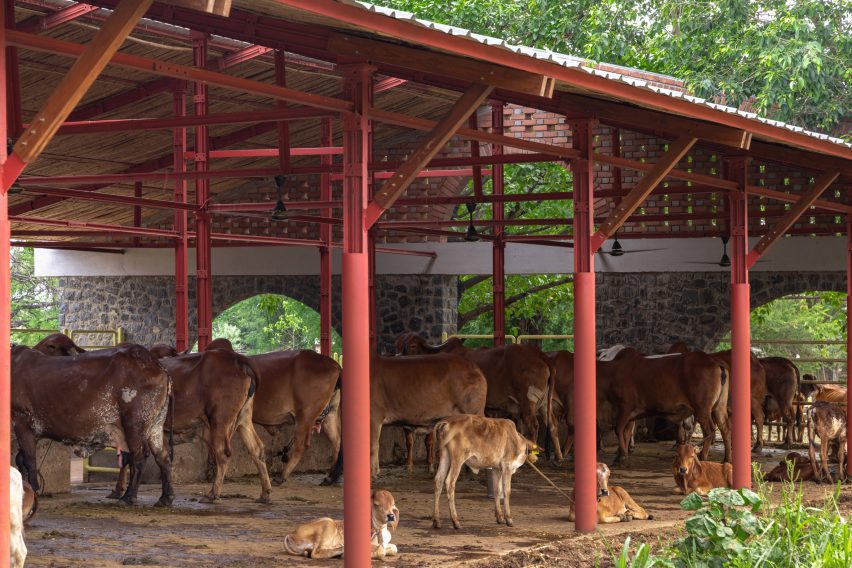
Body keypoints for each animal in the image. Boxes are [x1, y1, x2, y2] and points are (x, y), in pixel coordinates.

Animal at [11, 343, 174, 506]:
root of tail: (156, 365)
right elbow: (21, 459)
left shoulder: (21, 420)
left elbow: (29, 460)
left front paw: (33, 489)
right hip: (155, 426)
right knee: (163, 456)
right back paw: (166, 497)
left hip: (134, 424)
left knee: (139, 457)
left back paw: (129, 497)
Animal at [394, 333, 562, 462]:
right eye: (398, 344)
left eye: (412, 346)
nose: (398, 356)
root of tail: (540, 355)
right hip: (543, 404)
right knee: (553, 424)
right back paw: (559, 457)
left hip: (528, 402)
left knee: (534, 425)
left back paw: (532, 456)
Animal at [596, 346, 731, 467]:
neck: (612, 372)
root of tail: (714, 362)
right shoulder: (630, 414)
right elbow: (626, 433)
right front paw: (622, 454)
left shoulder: (624, 406)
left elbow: (619, 430)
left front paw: (621, 458)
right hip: (719, 407)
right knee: (725, 429)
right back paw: (726, 459)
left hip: (702, 409)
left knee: (709, 431)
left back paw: (702, 457)